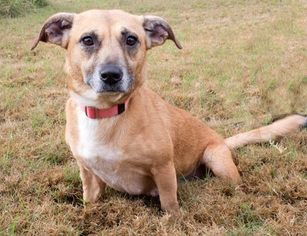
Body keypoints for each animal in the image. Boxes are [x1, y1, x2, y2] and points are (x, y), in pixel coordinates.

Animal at [31, 10, 307, 215]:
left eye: (131, 39)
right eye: (88, 40)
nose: (111, 75)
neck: (107, 113)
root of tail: (222, 141)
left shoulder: (163, 168)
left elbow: (169, 204)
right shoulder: (87, 171)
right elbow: (90, 198)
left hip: (217, 161)